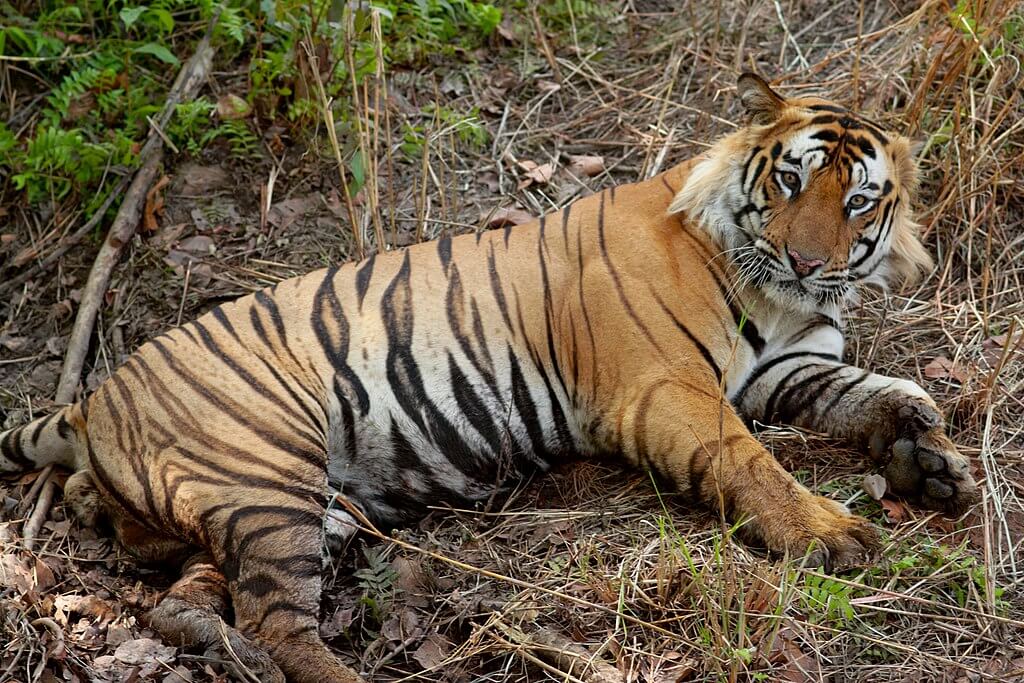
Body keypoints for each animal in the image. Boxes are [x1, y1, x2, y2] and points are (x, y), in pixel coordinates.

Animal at [0, 74, 974, 683]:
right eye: (793, 180)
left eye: (857, 200)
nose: (809, 261)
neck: (775, 297)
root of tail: (90, 398)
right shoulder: (668, 389)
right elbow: (752, 462)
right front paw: (832, 531)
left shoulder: (791, 365)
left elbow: (873, 394)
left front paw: (932, 462)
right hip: (267, 473)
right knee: (279, 622)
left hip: (280, 507)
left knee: (196, 599)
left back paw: (206, 635)